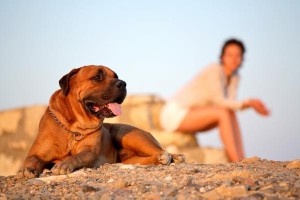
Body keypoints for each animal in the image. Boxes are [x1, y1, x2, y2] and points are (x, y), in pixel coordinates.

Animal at [18, 65, 185, 177]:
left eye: (116, 76)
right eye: (97, 77)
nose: (122, 83)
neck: (72, 128)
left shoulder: (89, 151)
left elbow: (77, 156)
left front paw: (64, 164)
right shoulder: (36, 153)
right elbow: (31, 160)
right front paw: (27, 170)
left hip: (127, 134)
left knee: (161, 151)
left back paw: (174, 156)